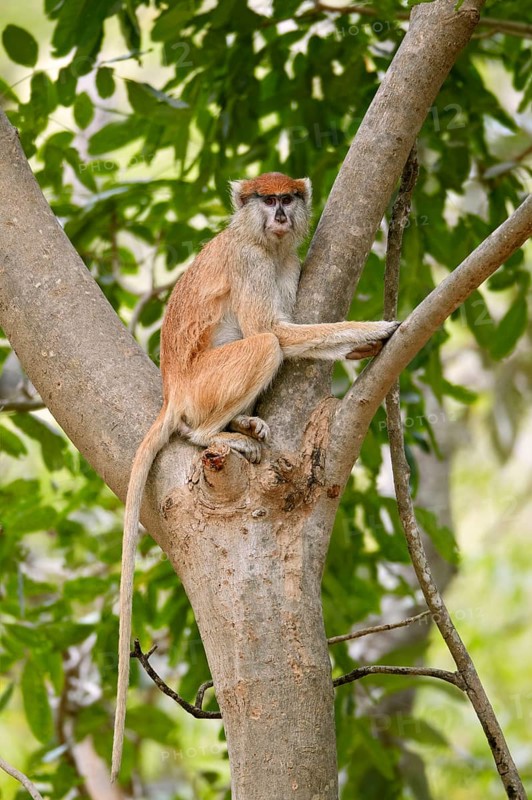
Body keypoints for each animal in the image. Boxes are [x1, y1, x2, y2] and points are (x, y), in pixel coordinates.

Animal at [111, 172, 398, 780]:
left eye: (287, 197)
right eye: (267, 200)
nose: (282, 215)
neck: (263, 241)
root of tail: (173, 390)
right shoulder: (250, 262)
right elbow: (276, 331)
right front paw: (377, 330)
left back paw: (243, 424)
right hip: (205, 385)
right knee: (262, 344)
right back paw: (217, 435)